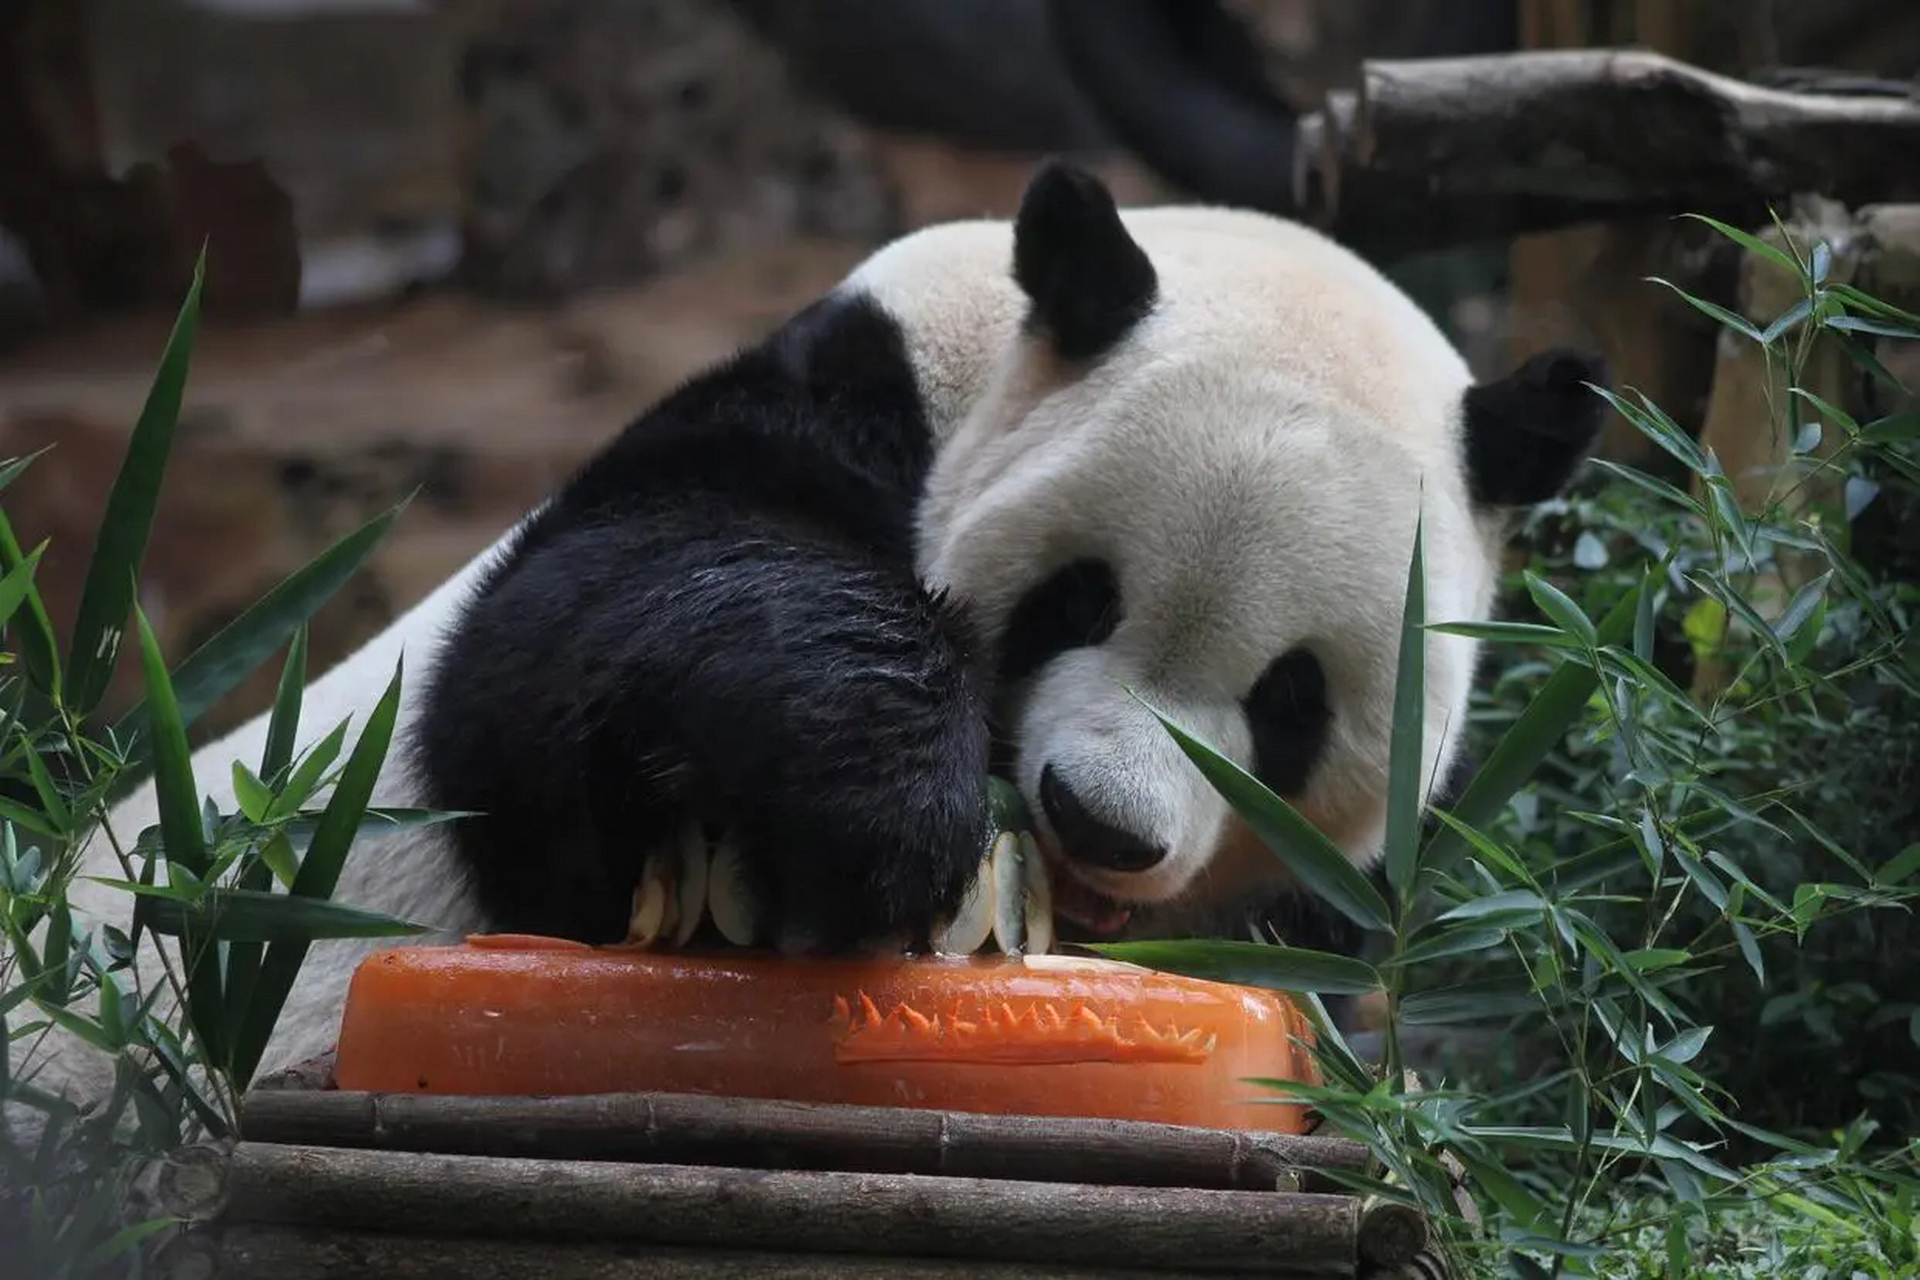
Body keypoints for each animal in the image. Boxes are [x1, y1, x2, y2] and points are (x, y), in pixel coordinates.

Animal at [30, 165, 1605, 1113]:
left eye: (1288, 701)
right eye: (1080, 598)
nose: (1100, 821)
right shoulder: (843, 406)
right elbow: (566, 675)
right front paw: (882, 816)